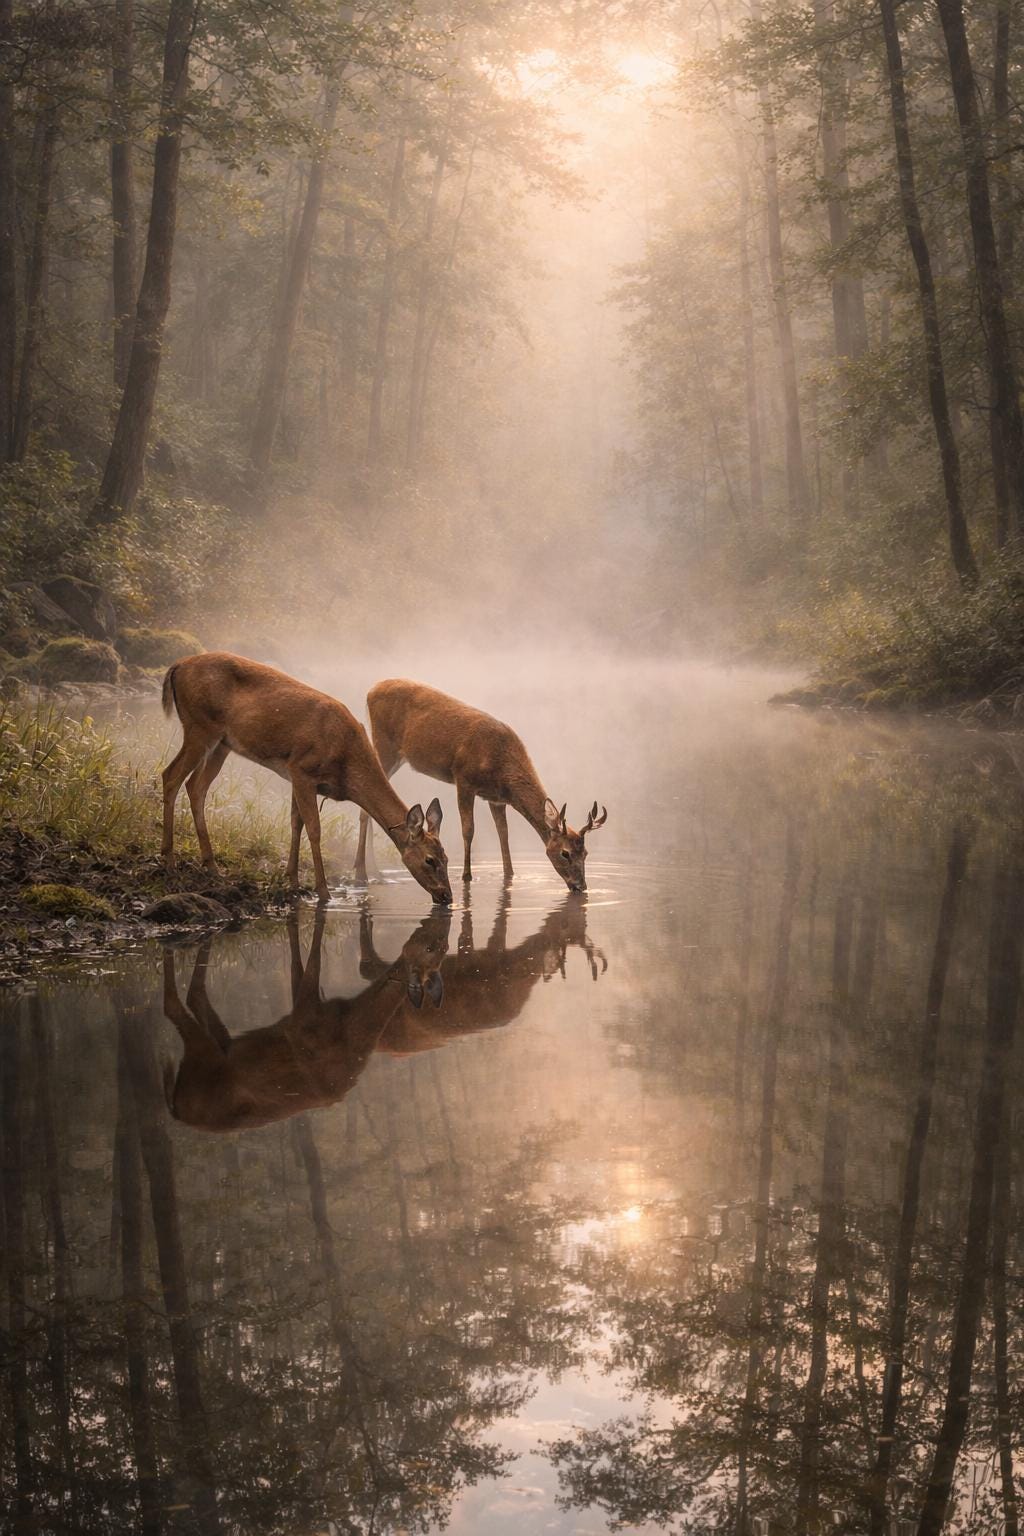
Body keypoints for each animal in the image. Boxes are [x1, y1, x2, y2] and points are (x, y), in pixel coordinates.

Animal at [161, 653, 452, 906]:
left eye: (447, 858)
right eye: (429, 860)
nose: (447, 896)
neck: (347, 769)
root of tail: (177, 666)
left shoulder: (294, 774)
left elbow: (295, 822)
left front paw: (292, 880)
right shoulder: (303, 770)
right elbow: (313, 828)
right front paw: (323, 892)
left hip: (221, 743)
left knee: (195, 786)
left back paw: (210, 865)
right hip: (200, 726)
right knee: (170, 776)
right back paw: (168, 859)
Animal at [353, 679, 607, 891]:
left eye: (585, 852)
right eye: (565, 853)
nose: (581, 886)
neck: (501, 766)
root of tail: (370, 691)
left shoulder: (496, 799)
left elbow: (503, 835)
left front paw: (510, 875)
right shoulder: (464, 779)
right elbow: (469, 830)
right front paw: (467, 876)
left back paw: (372, 872)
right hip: (384, 747)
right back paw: (364, 874)